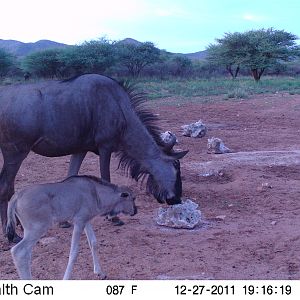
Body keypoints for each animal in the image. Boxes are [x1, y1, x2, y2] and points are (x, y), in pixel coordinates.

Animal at [6, 175, 137, 280]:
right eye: (132, 198)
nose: (135, 211)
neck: (95, 192)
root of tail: (16, 196)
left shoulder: (86, 221)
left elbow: (93, 243)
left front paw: (99, 272)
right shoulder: (79, 222)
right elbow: (73, 253)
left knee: (26, 254)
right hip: (37, 230)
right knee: (19, 252)